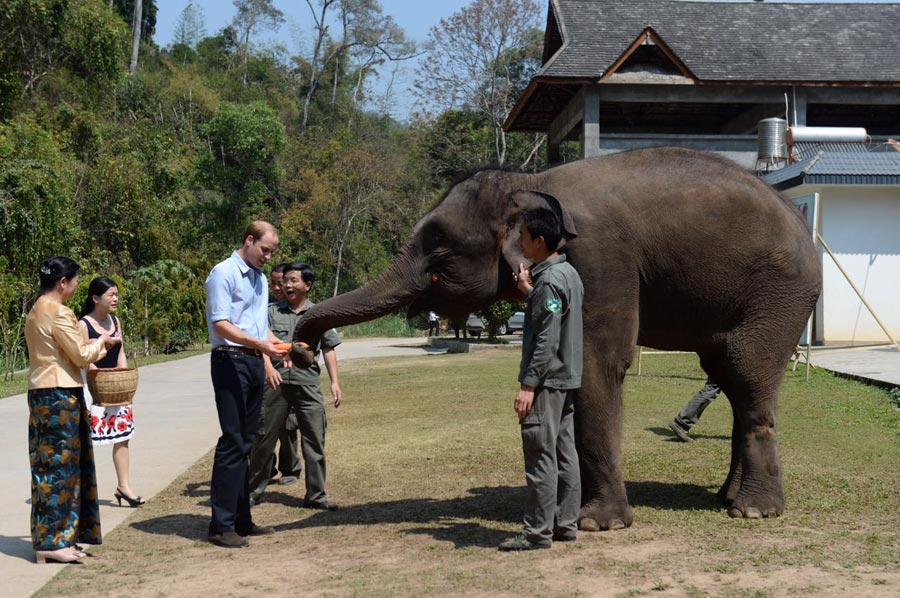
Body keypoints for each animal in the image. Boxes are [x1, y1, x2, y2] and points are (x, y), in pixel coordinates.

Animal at [291, 147, 822, 531]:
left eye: (438, 242)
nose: (300, 346)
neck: (533, 184)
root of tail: (801, 221)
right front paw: (582, 512)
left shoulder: (600, 256)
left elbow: (600, 362)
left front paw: (598, 525)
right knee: (726, 377)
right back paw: (726, 498)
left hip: (779, 295)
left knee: (745, 374)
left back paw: (752, 512)